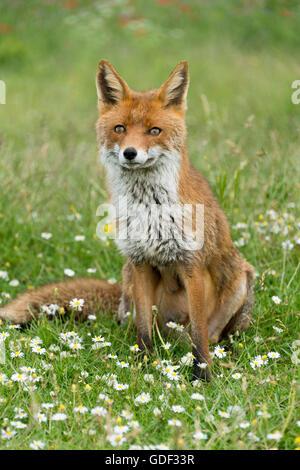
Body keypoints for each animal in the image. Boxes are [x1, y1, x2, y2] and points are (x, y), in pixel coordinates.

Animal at [0, 59, 253, 382]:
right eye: (120, 129)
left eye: (154, 131)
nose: (130, 153)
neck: (150, 209)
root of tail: (173, 338)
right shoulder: (140, 262)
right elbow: (144, 331)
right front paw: (143, 367)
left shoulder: (191, 266)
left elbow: (199, 334)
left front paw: (202, 376)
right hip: (130, 280)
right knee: (143, 328)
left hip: (240, 280)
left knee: (210, 335)